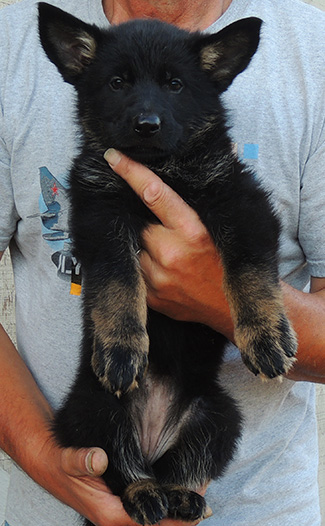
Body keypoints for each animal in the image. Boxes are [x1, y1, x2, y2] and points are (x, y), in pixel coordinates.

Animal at [38, 5, 296, 526]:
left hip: (217, 416)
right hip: (95, 408)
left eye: (175, 85)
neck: (161, 168)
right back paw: (143, 492)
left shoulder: (239, 199)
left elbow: (249, 269)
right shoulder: (100, 213)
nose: (147, 125)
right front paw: (121, 346)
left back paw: (179, 493)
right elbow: (117, 278)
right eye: (117, 83)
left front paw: (265, 334)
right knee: (120, 468)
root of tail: (153, 438)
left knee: (184, 463)